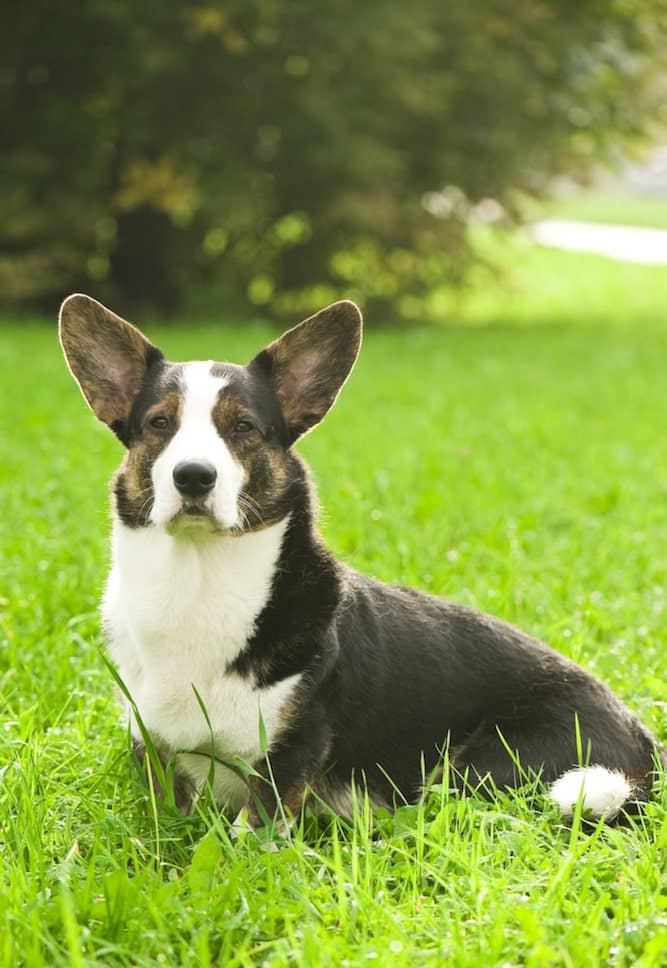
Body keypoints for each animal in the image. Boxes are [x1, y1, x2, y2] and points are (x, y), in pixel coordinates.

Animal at [60, 294, 664, 824]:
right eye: (159, 424)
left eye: (243, 428)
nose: (192, 476)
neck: (198, 579)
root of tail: (644, 746)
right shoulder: (153, 746)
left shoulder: (289, 753)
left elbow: (251, 831)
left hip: (483, 766)